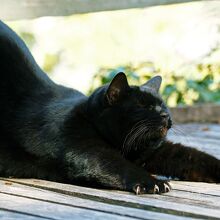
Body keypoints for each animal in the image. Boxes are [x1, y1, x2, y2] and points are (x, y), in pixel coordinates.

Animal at [0, 20, 219, 194]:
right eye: (143, 105)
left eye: (162, 105)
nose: (165, 115)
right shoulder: (84, 149)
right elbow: (115, 164)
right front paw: (152, 182)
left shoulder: (160, 150)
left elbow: (193, 157)